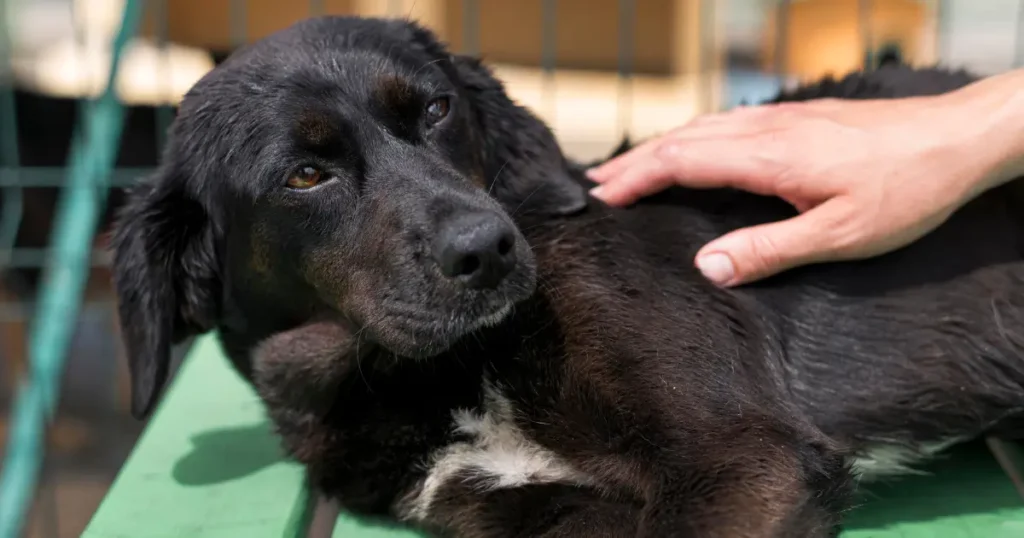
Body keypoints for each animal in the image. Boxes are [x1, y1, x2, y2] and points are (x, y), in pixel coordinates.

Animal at [108, 16, 1024, 536]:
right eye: (305, 175)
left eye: (436, 108)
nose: (487, 248)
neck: (438, 376)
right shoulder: (536, 511)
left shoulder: (746, 459)